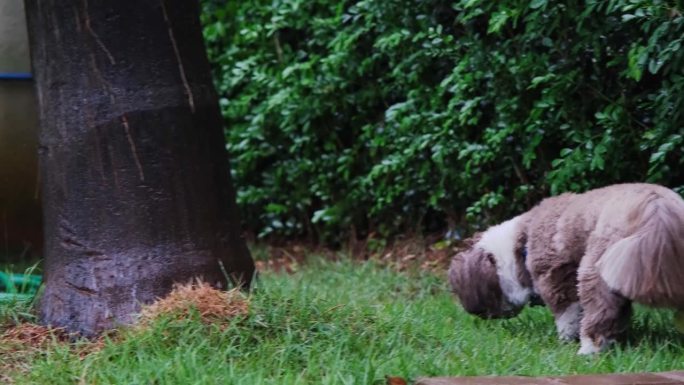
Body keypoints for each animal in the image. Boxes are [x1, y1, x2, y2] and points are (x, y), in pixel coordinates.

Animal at [448, 183, 684, 354]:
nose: (479, 314)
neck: (521, 243)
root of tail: (658, 208)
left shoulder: (556, 277)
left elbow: (567, 315)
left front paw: (566, 339)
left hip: (594, 268)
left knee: (598, 314)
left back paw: (587, 350)